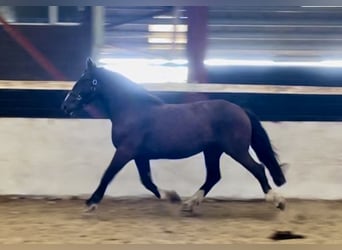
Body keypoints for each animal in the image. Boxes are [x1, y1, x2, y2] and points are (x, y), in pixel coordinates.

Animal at [60, 58, 286, 213]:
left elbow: (108, 174)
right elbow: (147, 181)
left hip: (235, 149)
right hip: (212, 151)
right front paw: (172, 196)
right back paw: (189, 204)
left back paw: (277, 201)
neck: (132, 110)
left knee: (258, 168)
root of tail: (240, 110)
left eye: (87, 80)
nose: (65, 105)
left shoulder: (126, 151)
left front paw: (91, 203)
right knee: (214, 176)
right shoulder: (140, 155)